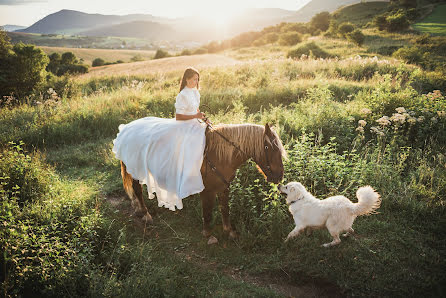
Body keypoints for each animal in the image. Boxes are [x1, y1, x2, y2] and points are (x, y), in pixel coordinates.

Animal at [118, 122, 286, 239]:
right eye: (270, 148)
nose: (279, 177)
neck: (219, 155)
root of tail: (128, 128)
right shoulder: (207, 191)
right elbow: (208, 212)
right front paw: (208, 234)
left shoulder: (224, 187)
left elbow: (225, 209)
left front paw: (229, 231)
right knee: (137, 189)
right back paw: (146, 214)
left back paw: (138, 208)